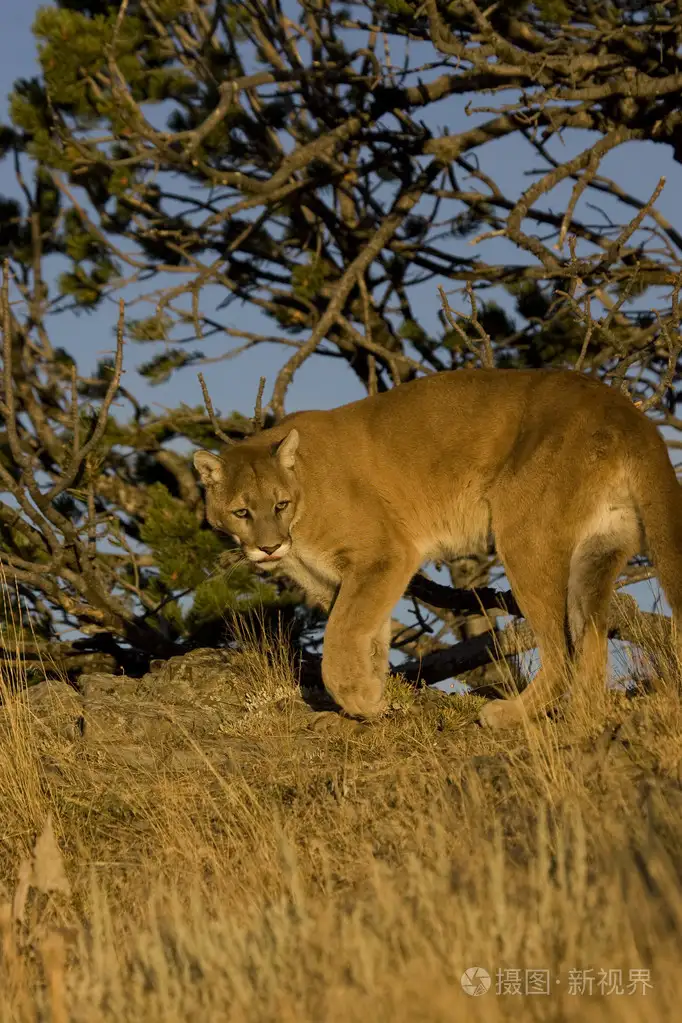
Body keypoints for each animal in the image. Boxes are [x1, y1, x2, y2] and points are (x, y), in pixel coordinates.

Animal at [192, 368, 682, 728]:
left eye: (279, 504)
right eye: (241, 512)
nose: (270, 548)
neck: (304, 498)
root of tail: (624, 408)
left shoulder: (385, 555)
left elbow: (341, 636)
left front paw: (360, 700)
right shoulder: (339, 580)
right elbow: (367, 635)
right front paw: (371, 698)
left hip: (527, 538)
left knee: (561, 648)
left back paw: (509, 715)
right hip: (597, 553)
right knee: (592, 637)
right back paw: (582, 719)